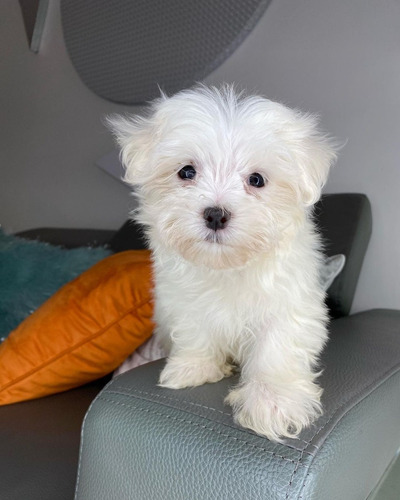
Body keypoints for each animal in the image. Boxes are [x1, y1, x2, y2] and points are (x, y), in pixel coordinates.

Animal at [108, 86, 336, 442]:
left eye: (256, 179)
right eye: (187, 171)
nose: (215, 214)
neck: (226, 266)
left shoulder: (289, 302)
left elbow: (276, 346)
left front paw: (272, 401)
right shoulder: (183, 299)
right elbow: (195, 329)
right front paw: (194, 367)